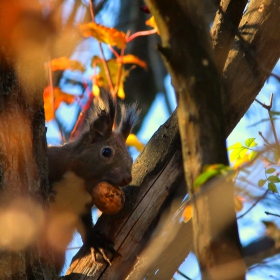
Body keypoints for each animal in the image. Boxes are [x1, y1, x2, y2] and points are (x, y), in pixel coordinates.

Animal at [46, 89, 140, 272]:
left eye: (131, 159)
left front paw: (96, 243)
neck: (79, 185)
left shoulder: (81, 208)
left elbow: (86, 226)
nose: (127, 178)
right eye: (106, 152)